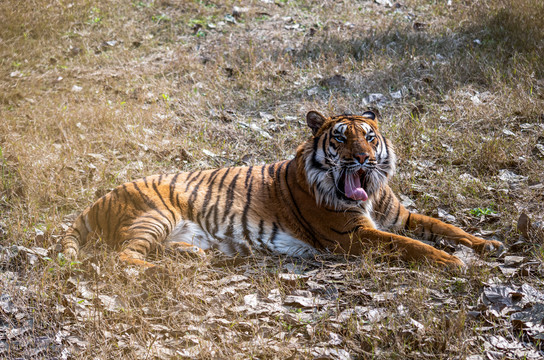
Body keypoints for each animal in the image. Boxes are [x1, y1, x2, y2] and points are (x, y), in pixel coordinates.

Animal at [60, 111, 506, 268]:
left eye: (370, 137)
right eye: (341, 138)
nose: (363, 158)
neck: (370, 190)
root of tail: (100, 197)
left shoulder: (402, 216)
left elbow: (444, 227)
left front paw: (486, 244)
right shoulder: (355, 236)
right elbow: (412, 245)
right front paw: (453, 262)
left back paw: (191, 258)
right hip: (154, 216)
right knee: (124, 257)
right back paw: (164, 272)